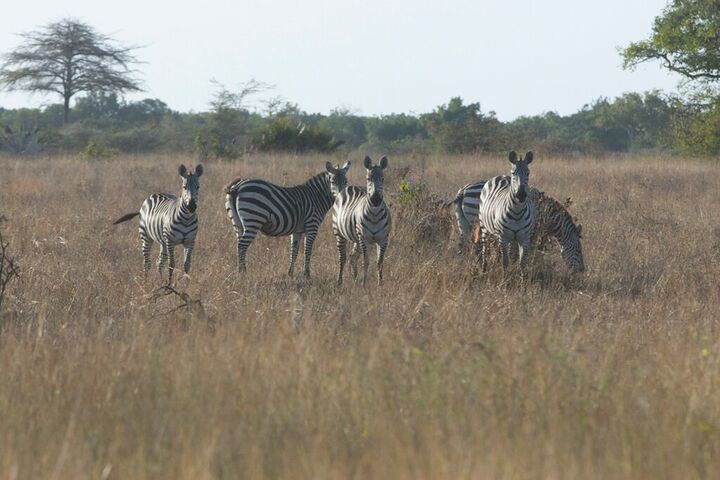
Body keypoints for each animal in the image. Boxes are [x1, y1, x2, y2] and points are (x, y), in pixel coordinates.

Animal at [332, 155, 392, 286]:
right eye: (368, 178)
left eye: (383, 179)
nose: (375, 200)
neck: (374, 215)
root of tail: (350, 187)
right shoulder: (364, 239)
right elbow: (366, 262)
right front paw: (364, 283)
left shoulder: (383, 239)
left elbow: (380, 262)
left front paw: (380, 284)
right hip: (340, 234)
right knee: (342, 258)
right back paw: (339, 282)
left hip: (356, 239)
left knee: (352, 256)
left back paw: (354, 279)